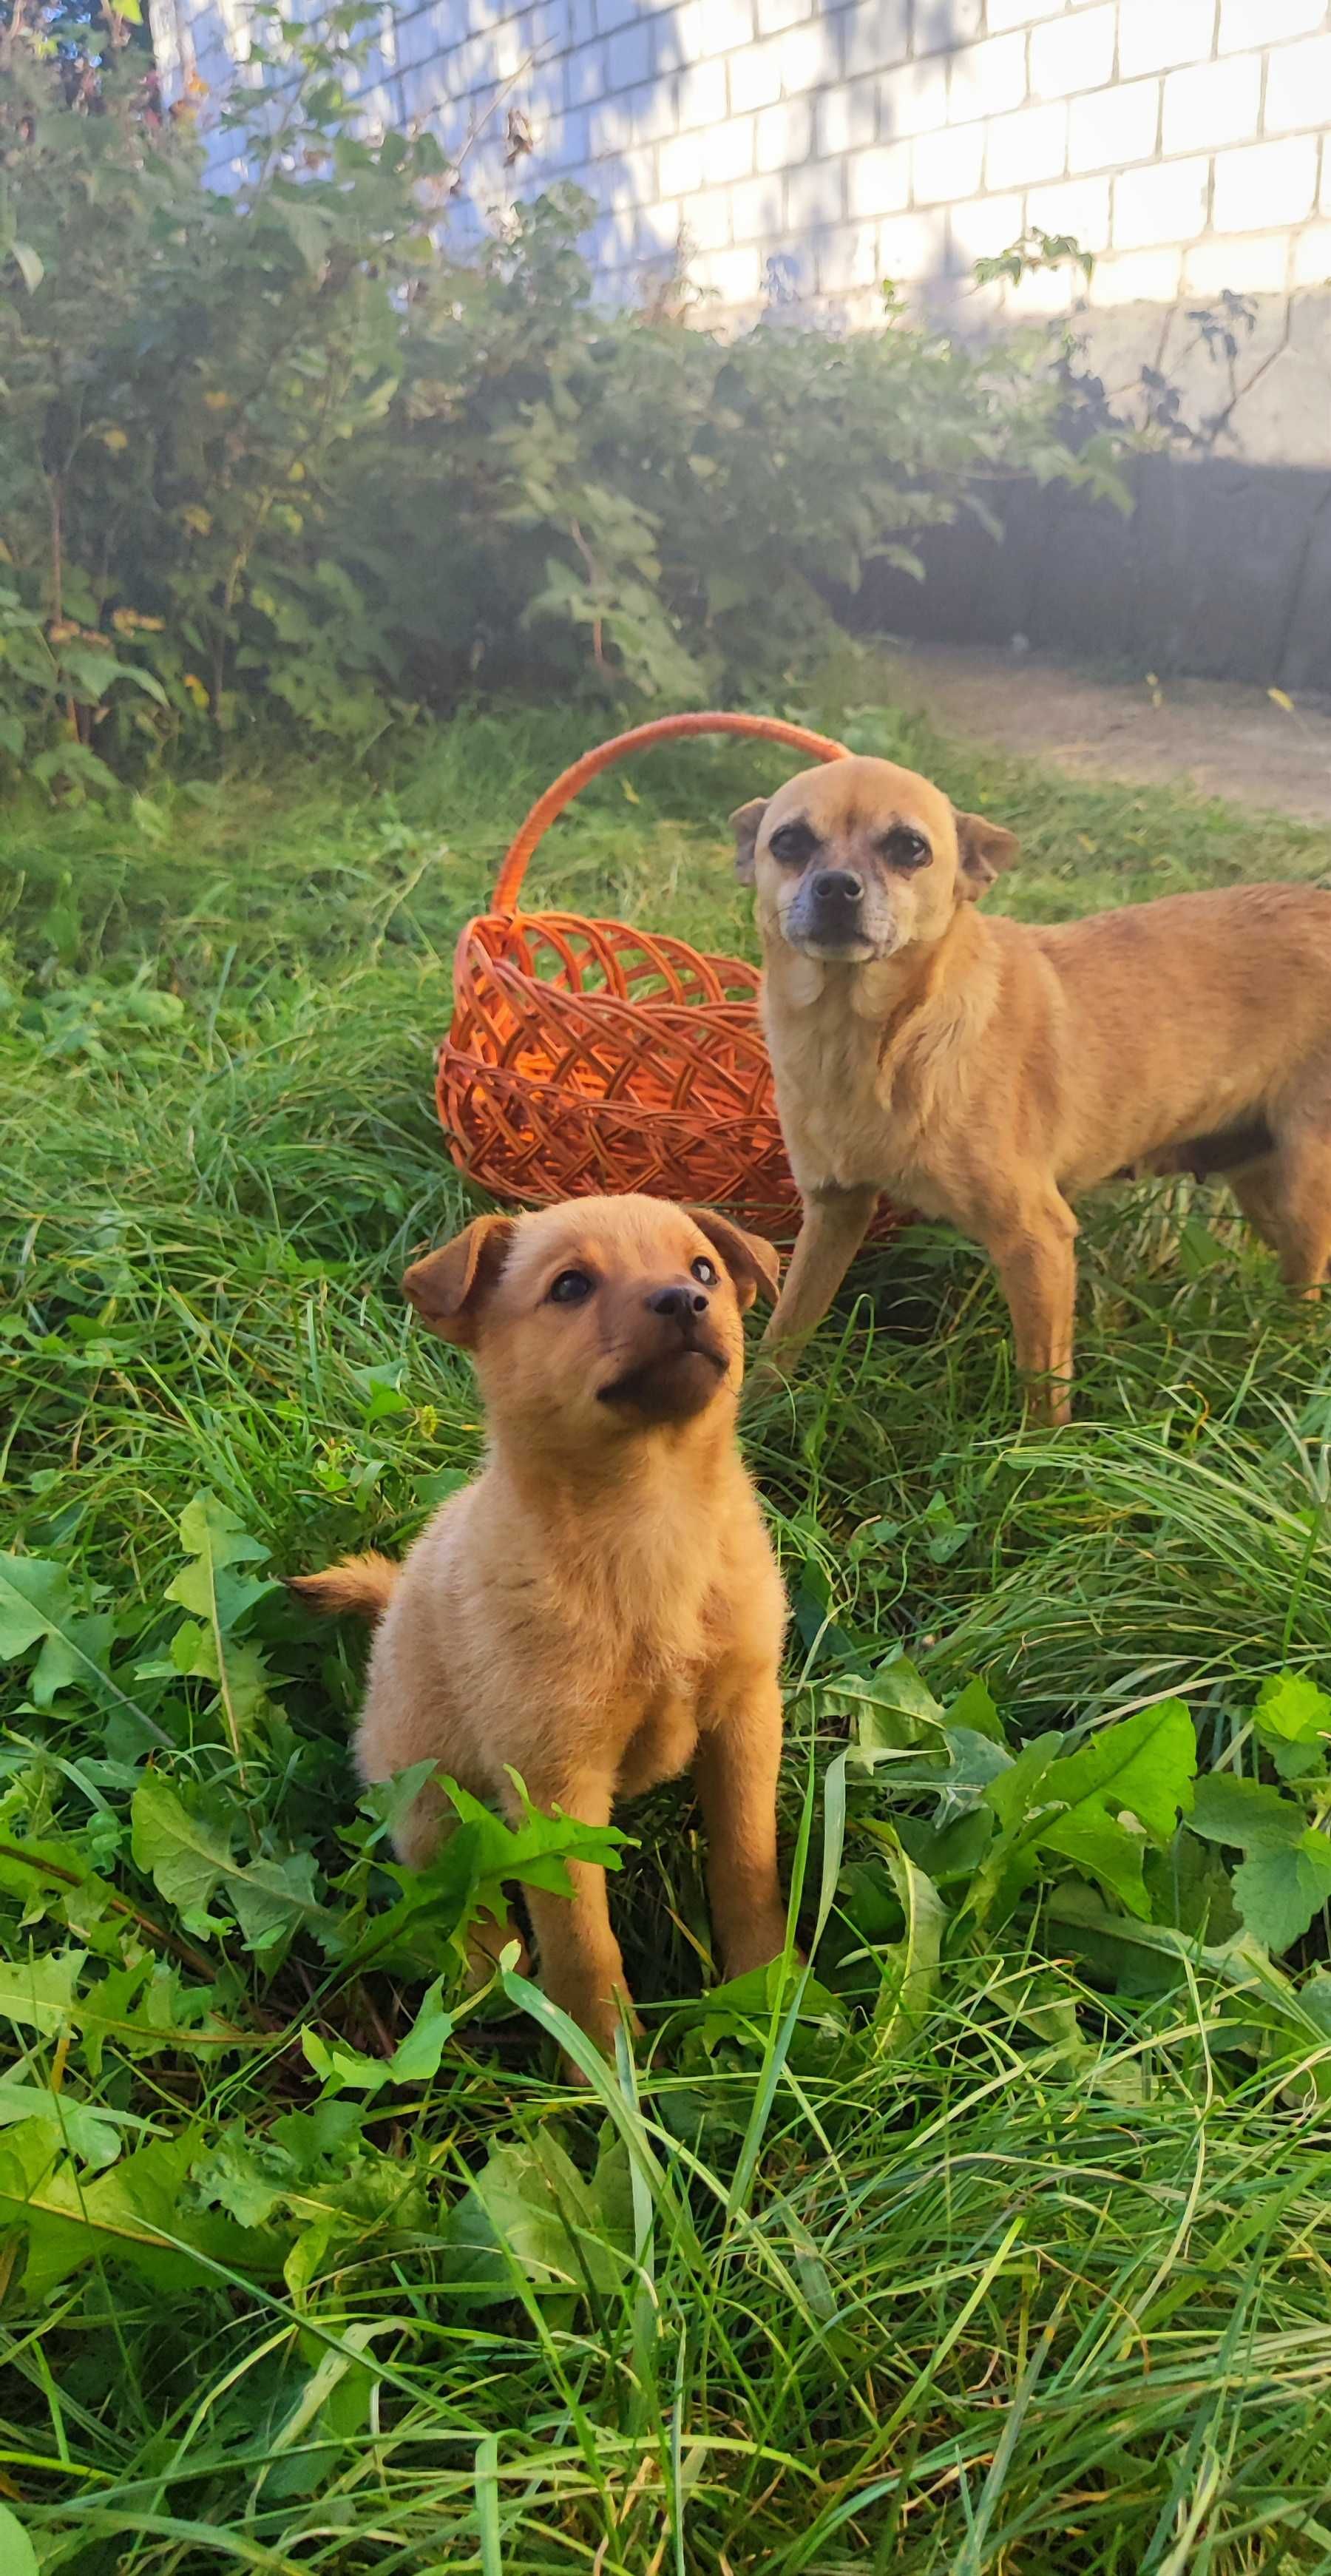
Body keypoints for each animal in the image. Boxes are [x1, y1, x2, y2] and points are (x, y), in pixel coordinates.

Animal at [291, 1185, 788, 2050]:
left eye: (705, 1270)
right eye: (570, 1286)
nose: (684, 1300)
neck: (649, 1521)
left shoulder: (747, 1719)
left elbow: (746, 1864)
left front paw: (761, 1992)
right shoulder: (555, 1788)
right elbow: (582, 1942)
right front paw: (603, 2059)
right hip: (430, 1803)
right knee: (460, 1898)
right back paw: (488, 1979)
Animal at [731, 747, 1328, 1432]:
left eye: (910, 847)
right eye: (789, 842)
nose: (836, 885)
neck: (870, 1041)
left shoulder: (1036, 1239)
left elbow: (1043, 1385)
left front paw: (1037, 1453)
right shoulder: (834, 1213)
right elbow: (786, 1327)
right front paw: (753, 1418)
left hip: (1304, 1193)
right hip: (1263, 1184)